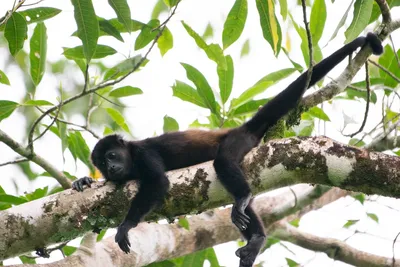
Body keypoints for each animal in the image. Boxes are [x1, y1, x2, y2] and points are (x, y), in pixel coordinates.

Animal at [72, 32, 384, 266]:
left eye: (112, 155)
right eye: (102, 163)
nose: (112, 167)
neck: (130, 159)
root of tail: (242, 128)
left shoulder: (143, 154)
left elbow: (158, 182)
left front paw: (125, 225)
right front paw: (82, 181)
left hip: (238, 141)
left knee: (224, 162)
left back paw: (243, 198)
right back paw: (256, 239)